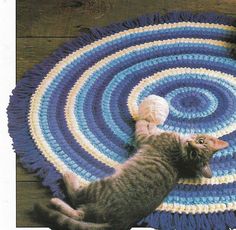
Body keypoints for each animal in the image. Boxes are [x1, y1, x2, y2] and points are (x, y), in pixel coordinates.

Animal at [34, 119, 228, 229]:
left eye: (195, 151)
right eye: (199, 143)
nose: (190, 143)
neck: (181, 158)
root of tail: (121, 221)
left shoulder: (147, 139)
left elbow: (143, 127)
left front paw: (146, 120)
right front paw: (152, 123)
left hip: (99, 187)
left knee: (76, 202)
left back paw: (65, 183)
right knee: (79, 214)